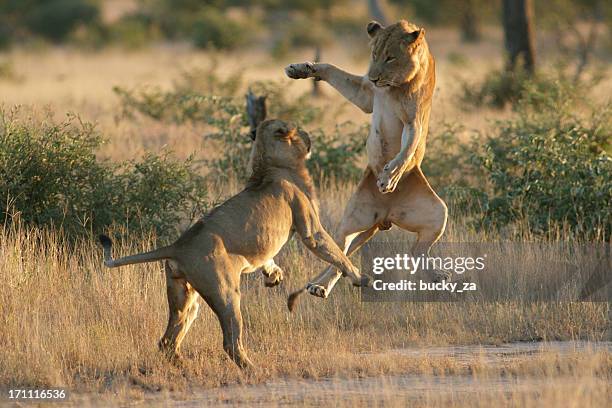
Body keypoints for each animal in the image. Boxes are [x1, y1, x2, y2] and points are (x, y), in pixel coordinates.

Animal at [98, 118, 370, 370]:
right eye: (298, 129)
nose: (308, 134)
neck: (269, 162)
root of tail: (178, 244)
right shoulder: (310, 227)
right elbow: (335, 252)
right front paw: (359, 277)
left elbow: (269, 259)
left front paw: (274, 275)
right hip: (225, 292)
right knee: (230, 342)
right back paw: (253, 369)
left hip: (184, 296)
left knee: (167, 340)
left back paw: (184, 365)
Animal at [284, 18, 448, 306]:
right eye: (374, 54)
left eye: (390, 57)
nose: (373, 77)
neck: (391, 87)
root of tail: (385, 216)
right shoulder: (366, 95)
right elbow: (331, 69)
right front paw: (301, 69)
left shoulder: (414, 120)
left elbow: (406, 150)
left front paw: (388, 178)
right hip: (353, 217)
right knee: (341, 253)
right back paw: (319, 286)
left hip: (439, 213)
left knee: (416, 251)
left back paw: (438, 276)